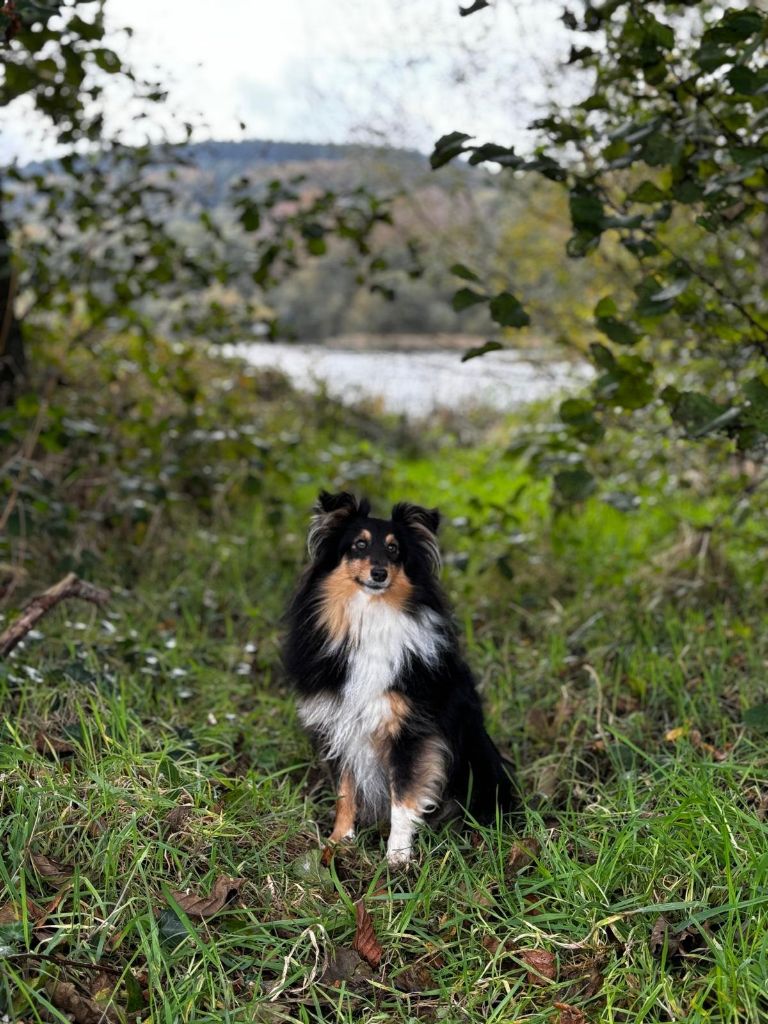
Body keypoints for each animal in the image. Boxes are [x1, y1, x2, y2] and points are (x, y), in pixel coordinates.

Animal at [282, 491, 518, 868]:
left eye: (394, 550)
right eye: (359, 545)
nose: (379, 573)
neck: (370, 614)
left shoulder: (411, 732)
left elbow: (404, 797)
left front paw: (397, 856)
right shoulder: (341, 723)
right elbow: (345, 791)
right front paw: (339, 842)